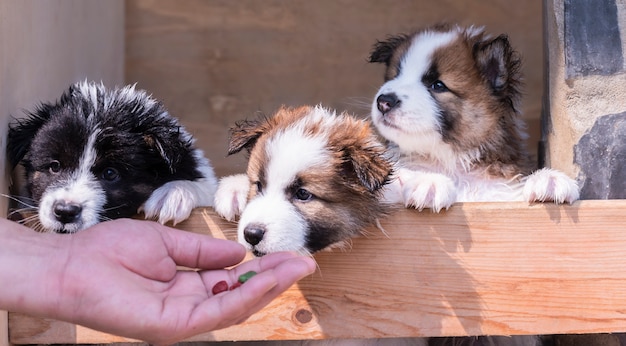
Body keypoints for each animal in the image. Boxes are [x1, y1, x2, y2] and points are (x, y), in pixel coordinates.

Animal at [368, 23, 576, 211]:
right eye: (395, 76)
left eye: (438, 85)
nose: (384, 102)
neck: (451, 161)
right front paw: (429, 182)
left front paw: (548, 179)